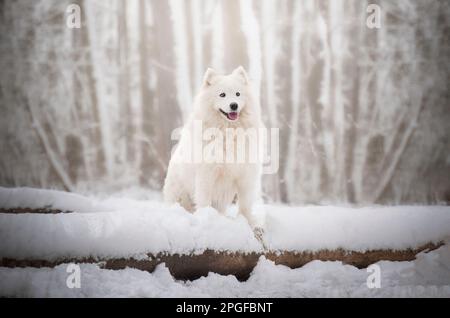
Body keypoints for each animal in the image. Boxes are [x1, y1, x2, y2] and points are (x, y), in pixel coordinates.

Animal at [163, 67, 264, 231]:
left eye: (238, 94)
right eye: (222, 95)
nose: (234, 105)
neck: (228, 131)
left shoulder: (245, 175)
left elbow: (245, 204)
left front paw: (250, 223)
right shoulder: (206, 173)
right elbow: (204, 201)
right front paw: (205, 218)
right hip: (179, 194)